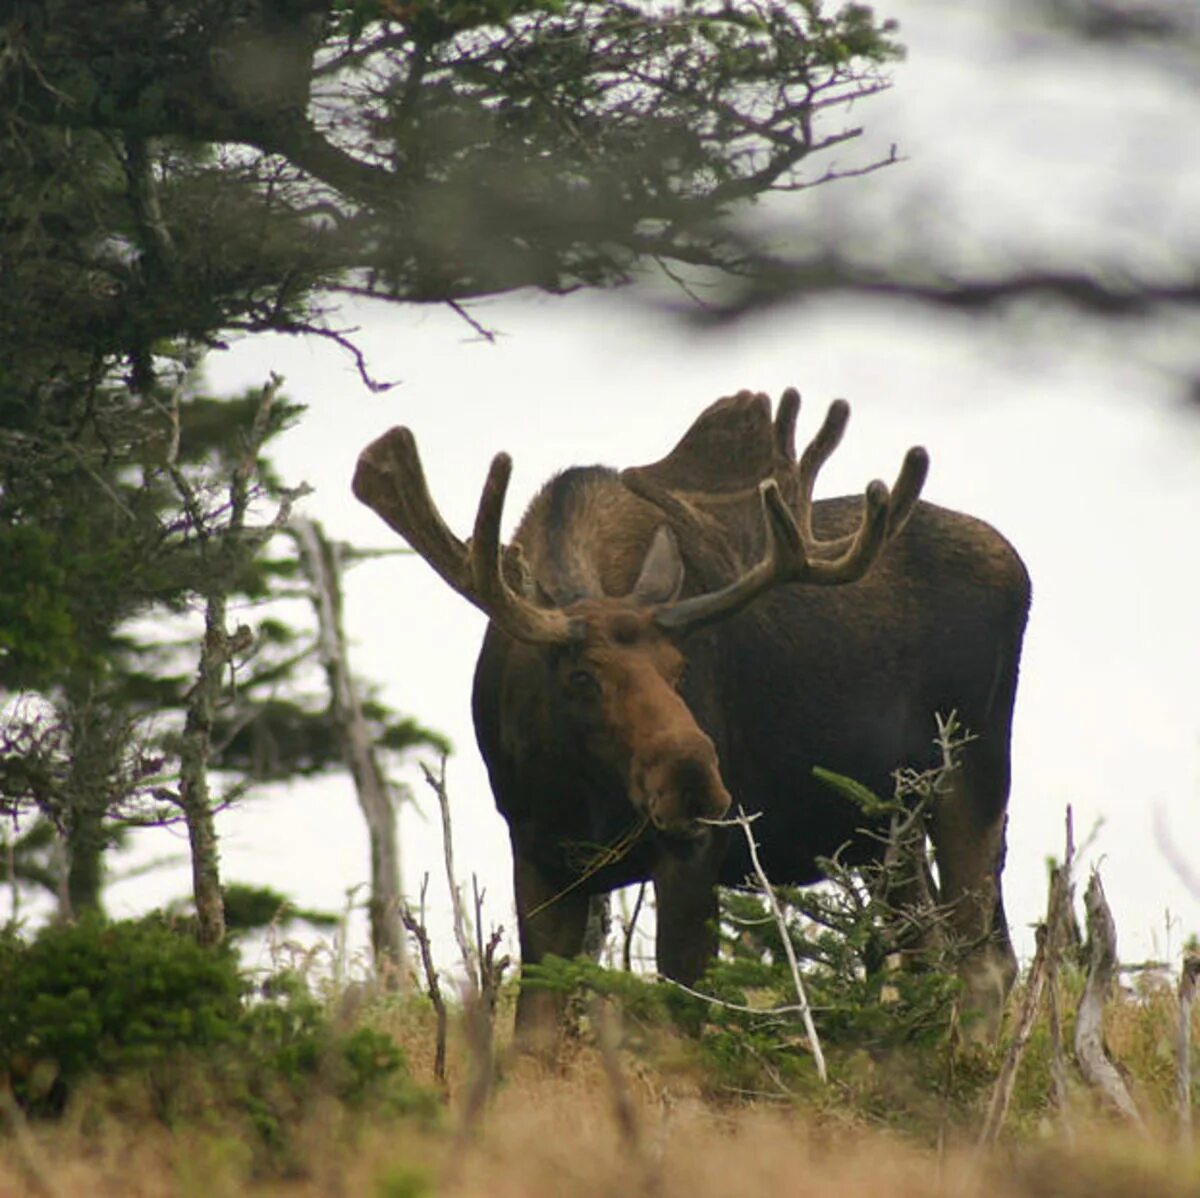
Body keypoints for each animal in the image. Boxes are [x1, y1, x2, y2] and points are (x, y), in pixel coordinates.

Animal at [350, 391, 1032, 1041]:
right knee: (930, 950)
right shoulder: (538, 852)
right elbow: (535, 1033)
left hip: (973, 773)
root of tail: (1017, 566)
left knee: (985, 962)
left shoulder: (694, 853)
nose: (695, 783)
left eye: (682, 668)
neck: (580, 791)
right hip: (886, 823)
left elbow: (682, 1023)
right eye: (581, 678)